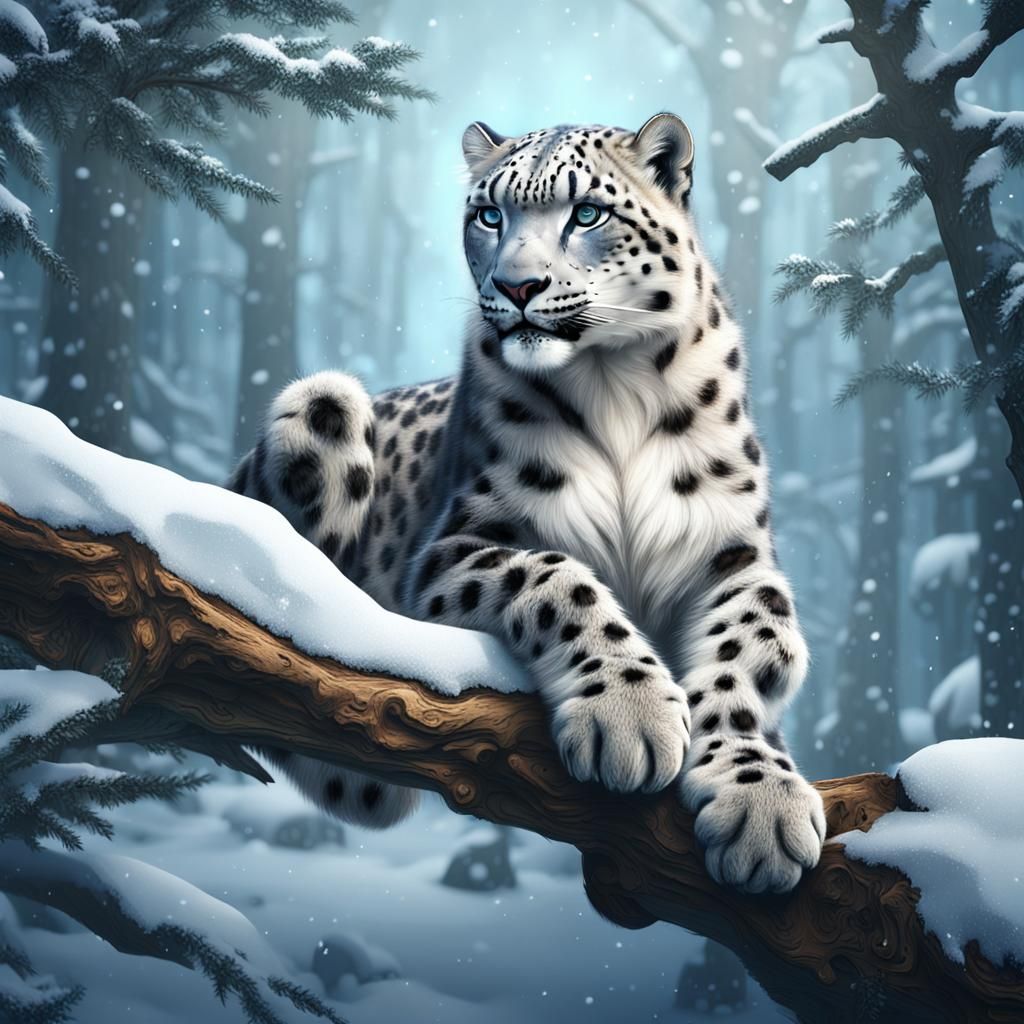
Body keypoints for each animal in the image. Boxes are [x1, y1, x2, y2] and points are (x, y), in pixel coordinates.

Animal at [229, 114, 826, 894]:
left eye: (588, 213)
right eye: (490, 215)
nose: (516, 285)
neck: (616, 381)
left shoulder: (737, 556)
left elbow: (751, 649)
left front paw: (761, 804)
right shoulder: (460, 542)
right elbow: (556, 578)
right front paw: (630, 715)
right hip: (322, 399)